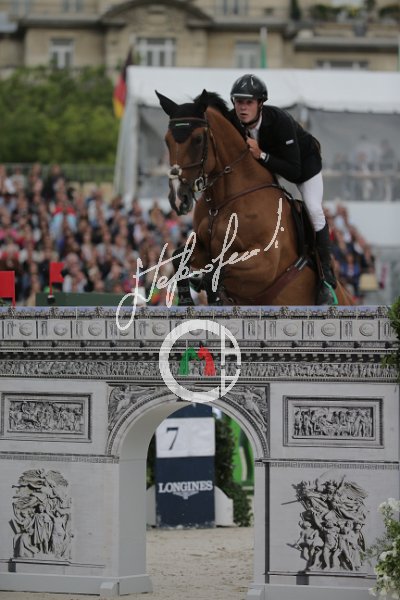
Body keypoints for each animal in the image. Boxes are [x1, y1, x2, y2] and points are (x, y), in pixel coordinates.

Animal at [156, 89, 354, 306]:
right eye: (166, 140)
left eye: (198, 139)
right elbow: (178, 257)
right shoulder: (204, 248)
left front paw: (215, 296)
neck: (223, 200)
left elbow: (217, 270)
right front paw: (186, 300)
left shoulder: (265, 263)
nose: (178, 198)